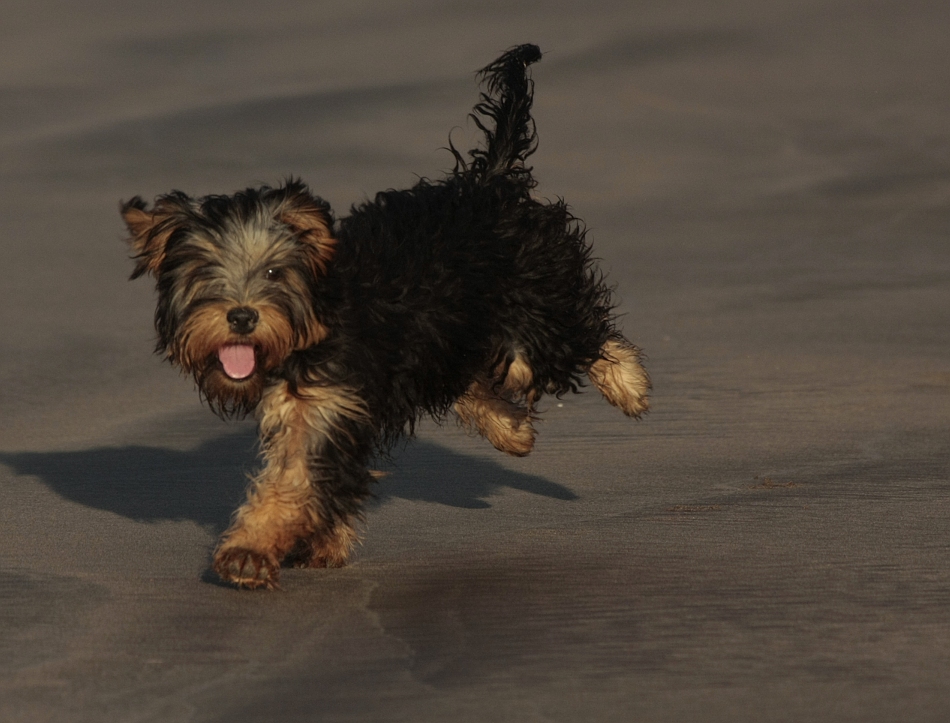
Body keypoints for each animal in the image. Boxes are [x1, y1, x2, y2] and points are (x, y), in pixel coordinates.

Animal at [122, 43, 652, 588]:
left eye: (273, 271)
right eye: (206, 273)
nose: (243, 317)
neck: (314, 319)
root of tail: (490, 185)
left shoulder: (328, 403)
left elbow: (296, 481)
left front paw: (248, 550)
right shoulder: (314, 406)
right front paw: (321, 545)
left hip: (535, 295)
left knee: (572, 338)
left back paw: (628, 384)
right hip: (453, 334)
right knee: (477, 376)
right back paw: (512, 429)